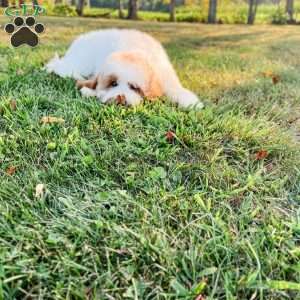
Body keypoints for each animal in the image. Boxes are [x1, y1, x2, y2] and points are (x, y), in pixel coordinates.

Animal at [45, 28, 203, 109]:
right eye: (113, 83)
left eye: (134, 87)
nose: (120, 98)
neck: (134, 49)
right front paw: (89, 91)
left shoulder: (166, 76)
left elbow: (176, 90)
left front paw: (191, 102)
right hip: (81, 63)